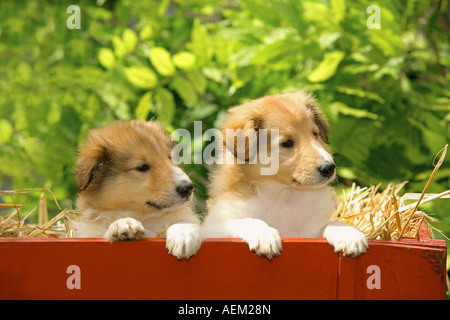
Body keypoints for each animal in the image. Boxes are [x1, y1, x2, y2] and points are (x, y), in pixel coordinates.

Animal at [72, 120, 202, 260]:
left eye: (170, 158)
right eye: (142, 167)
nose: (187, 188)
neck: (146, 218)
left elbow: (184, 220)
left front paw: (183, 236)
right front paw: (124, 224)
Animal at [202, 89, 368, 258]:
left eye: (314, 134)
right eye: (287, 143)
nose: (329, 168)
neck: (284, 195)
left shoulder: (308, 233)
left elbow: (329, 223)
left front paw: (348, 233)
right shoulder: (211, 228)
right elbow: (244, 221)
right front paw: (264, 234)